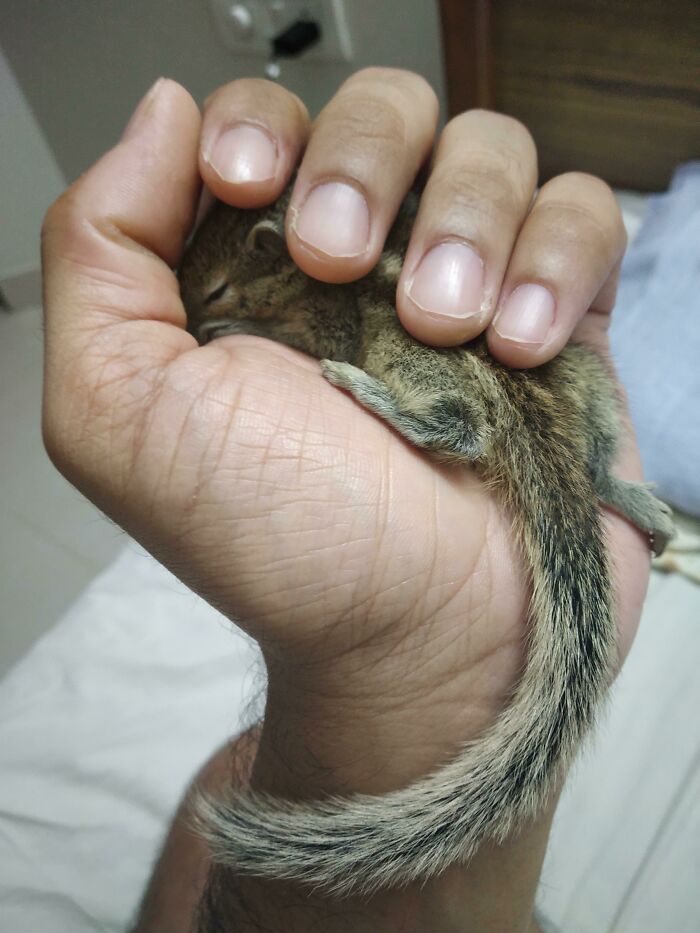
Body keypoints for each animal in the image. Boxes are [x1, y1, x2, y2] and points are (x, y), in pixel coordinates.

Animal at [176, 187, 672, 896]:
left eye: (216, 289)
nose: (189, 320)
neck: (301, 278)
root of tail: (536, 417)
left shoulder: (328, 319)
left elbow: (292, 333)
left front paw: (239, 332)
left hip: (416, 353)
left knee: (461, 429)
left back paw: (370, 394)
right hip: (587, 378)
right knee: (597, 462)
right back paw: (629, 494)